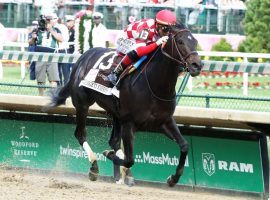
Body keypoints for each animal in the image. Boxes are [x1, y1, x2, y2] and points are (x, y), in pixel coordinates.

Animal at [45, 23, 202, 188]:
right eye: (180, 41)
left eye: (195, 41)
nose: (197, 65)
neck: (154, 85)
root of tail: (83, 56)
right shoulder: (129, 122)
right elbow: (129, 159)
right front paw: (109, 155)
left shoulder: (164, 121)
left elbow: (184, 145)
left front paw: (173, 178)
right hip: (83, 104)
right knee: (81, 135)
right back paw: (95, 167)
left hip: (115, 113)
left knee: (114, 141)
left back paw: (124, 174)